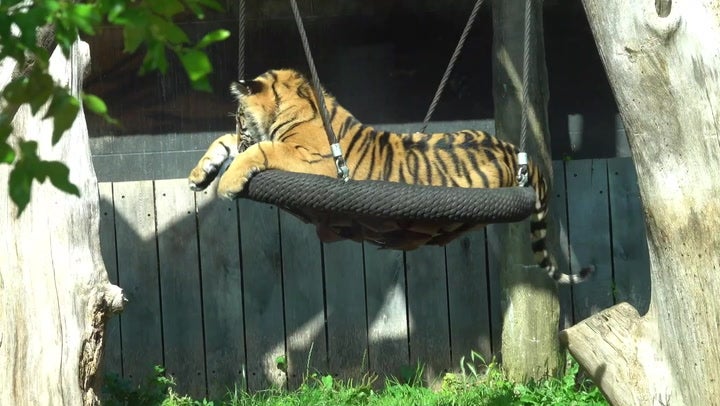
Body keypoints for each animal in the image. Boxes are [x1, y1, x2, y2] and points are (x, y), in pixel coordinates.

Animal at [188, 68, 592, 284]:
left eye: (240, 116)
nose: (239, 125)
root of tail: (514, 151)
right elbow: (223, 143)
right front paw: (199, 175)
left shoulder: (313, 161)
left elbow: (260, 150)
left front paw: (227, 183)